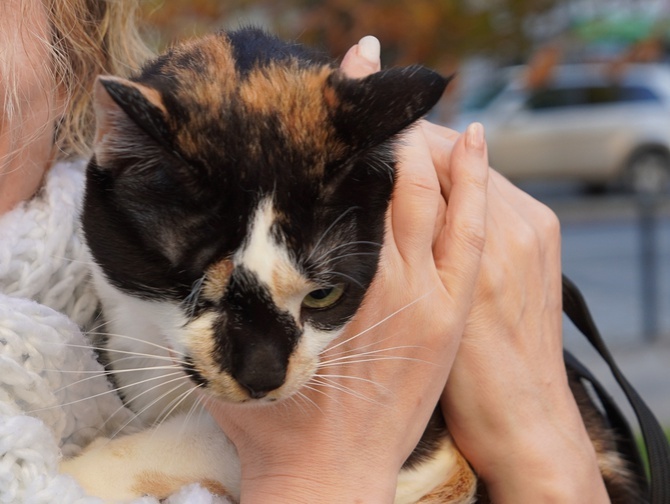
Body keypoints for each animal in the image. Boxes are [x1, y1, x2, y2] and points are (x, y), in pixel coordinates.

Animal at [61, 28, 644, 504]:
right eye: (194, 284)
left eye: (324, 294)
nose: (264, 376)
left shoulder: (431, 452)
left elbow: (210, 438)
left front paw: (87, 473)